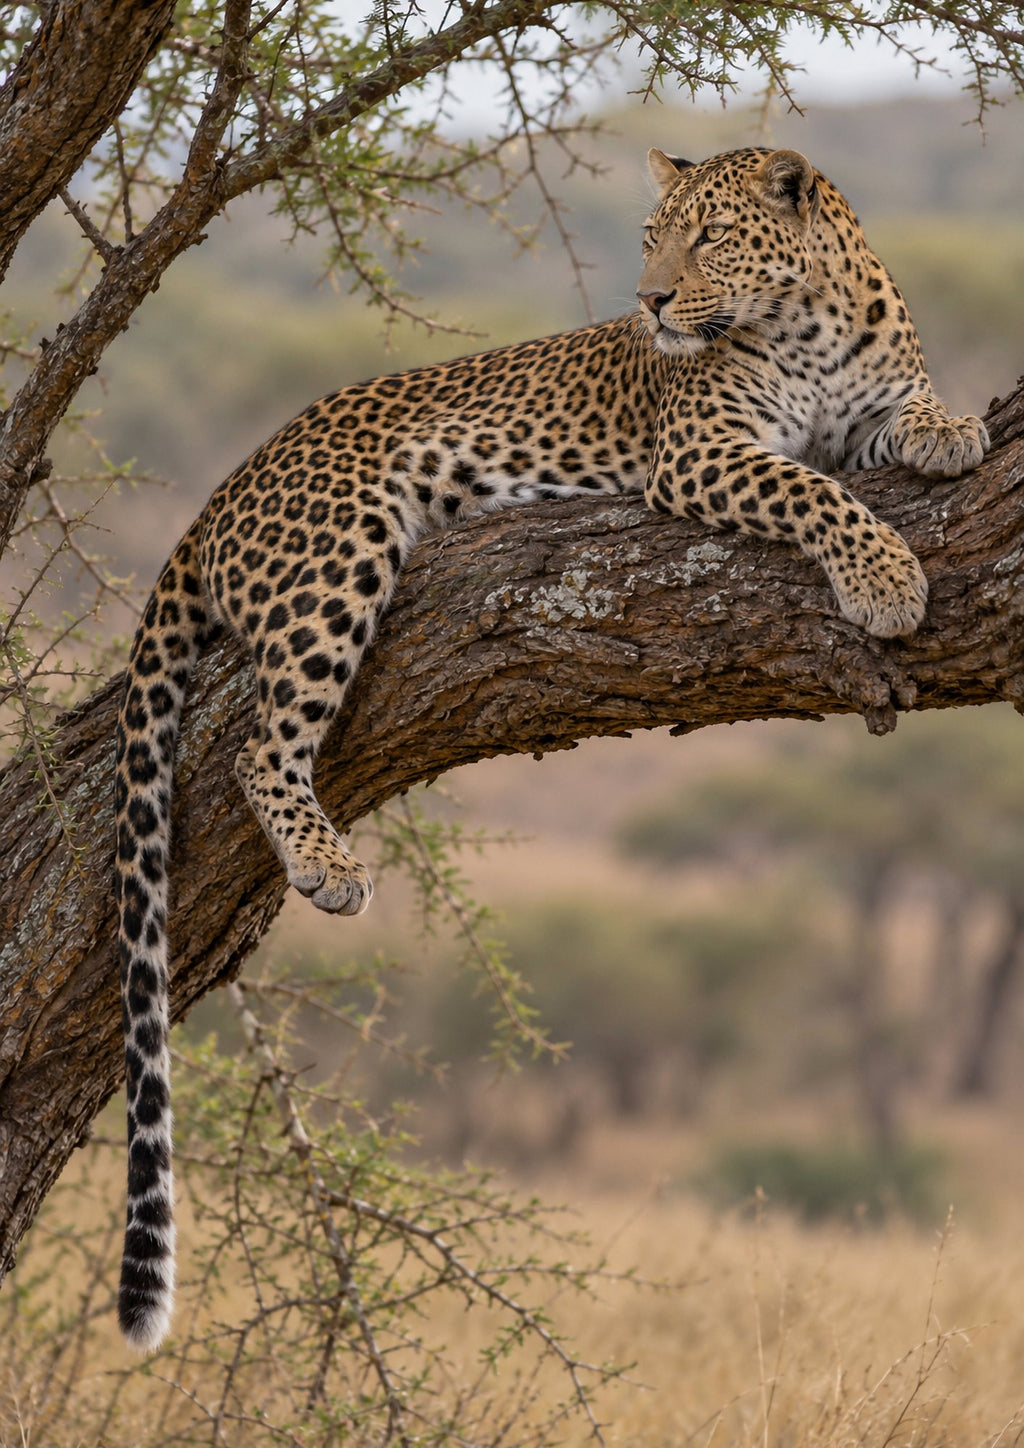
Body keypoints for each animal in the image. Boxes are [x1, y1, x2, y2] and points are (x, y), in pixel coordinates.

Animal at [113, 145, 989, 1349]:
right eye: (653, 237)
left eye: (710, 237)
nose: (650, 302)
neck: (807, 319)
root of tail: (223, 490)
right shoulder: (704, 451)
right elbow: (811, 488)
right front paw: (887, 579)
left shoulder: (856, 415)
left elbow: (900, 413)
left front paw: (951, 429)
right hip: (338, 556)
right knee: (259, 744)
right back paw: (327, 865)